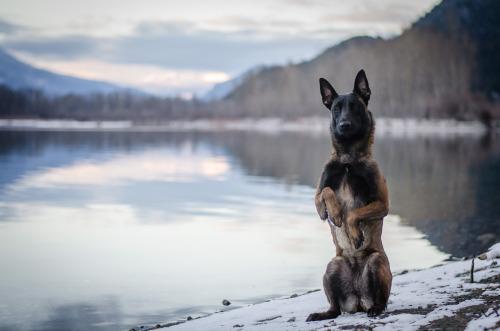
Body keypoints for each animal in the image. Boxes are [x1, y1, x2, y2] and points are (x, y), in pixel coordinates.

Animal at [306, 69, 392, 322]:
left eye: (355, 107)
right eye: (336, 108)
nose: (344, 125)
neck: (348, 160)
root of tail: (359, 300)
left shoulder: (383, 203)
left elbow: (354, 213)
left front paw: (353, 233)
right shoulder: (316, 198)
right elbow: (326, 193)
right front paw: (334, 214)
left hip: (376, 261)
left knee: (382, 301)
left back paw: (376, 309)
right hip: (333, 266)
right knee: (335, 308)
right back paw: (322, 314)